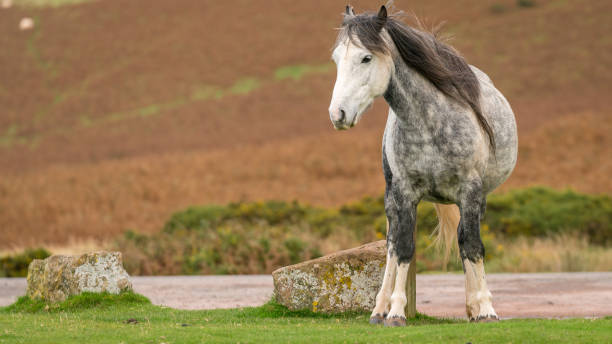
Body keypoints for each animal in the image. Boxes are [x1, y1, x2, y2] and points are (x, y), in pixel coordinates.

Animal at [330, 6, 516, 328]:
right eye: (337, 58)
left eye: (366, 58)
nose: (337, 114)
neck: (430, 122)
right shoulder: (405, 193)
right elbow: (404, 248)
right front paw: (395, 312)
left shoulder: (470, 192)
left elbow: (473, 246)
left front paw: (485, 308)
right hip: (391, 198)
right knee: (392, 245)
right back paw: (379, 308)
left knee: (463, 240)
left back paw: (472, 307)